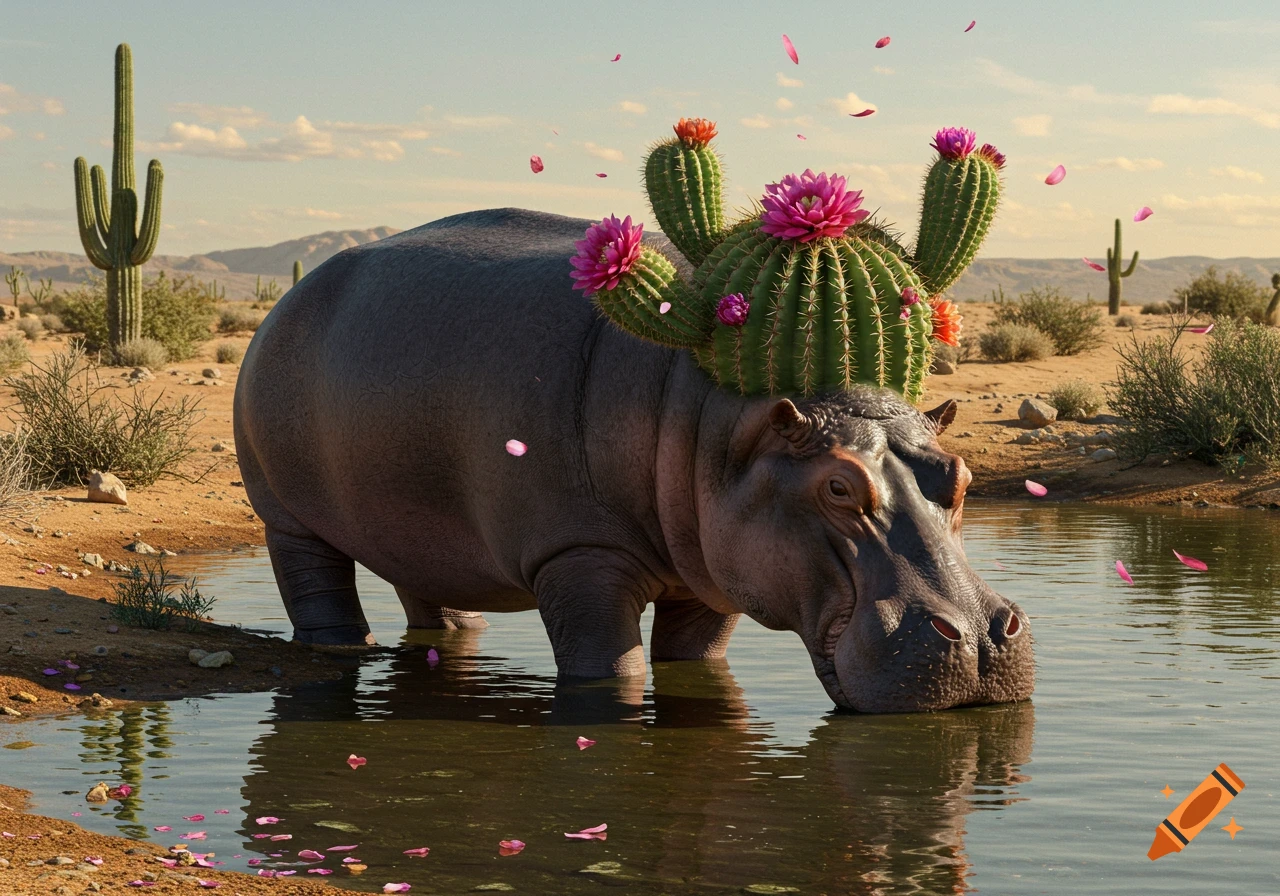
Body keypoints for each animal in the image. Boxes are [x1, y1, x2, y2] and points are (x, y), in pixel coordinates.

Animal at [233, 208, 1034, 712]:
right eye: (838, 486)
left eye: (961, 477)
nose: (979, 640)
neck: (726, 424)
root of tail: (292, 295)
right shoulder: (578, 554)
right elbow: (605, 664)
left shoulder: (712, 576)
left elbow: (698, 657)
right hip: (286, 516)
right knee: (315, 582)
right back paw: (339, 646)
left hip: (420, 524)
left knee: (430, 589)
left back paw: (457, 635)